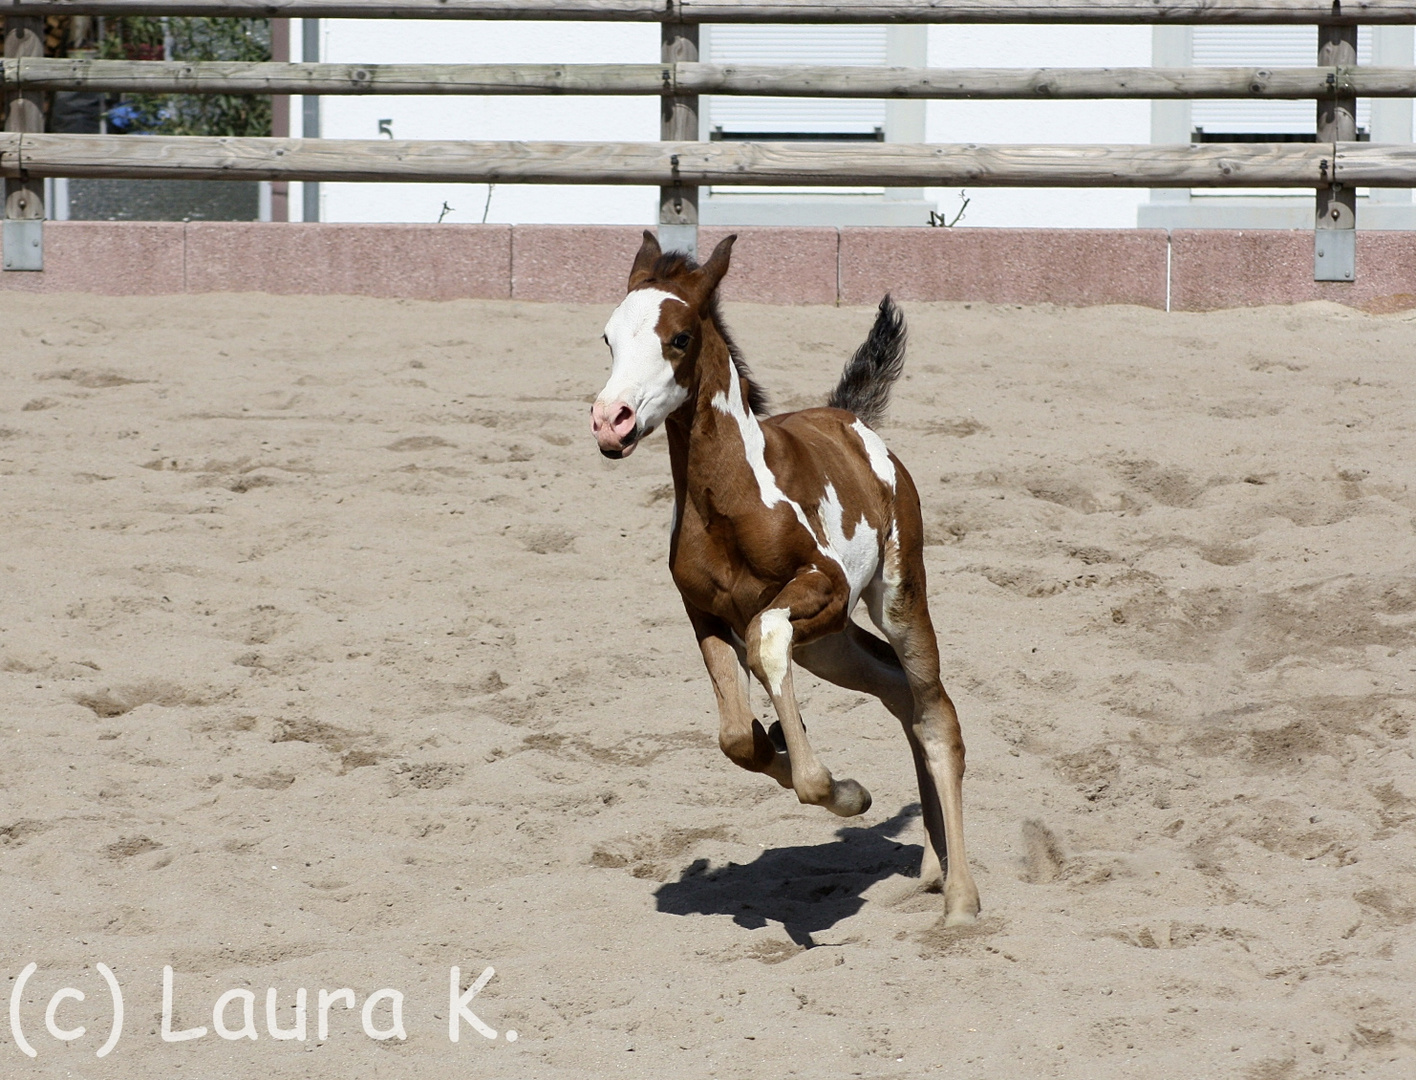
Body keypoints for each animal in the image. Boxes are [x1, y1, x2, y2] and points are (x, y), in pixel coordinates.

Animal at [591, 232, 979, 922]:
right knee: (898, 693)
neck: (729, 501)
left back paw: (959, 898)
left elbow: (766, 640)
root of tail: (849, 421)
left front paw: (836, 788)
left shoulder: (819, 588)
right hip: (830, 644)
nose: (612, 420)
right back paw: (931, 868)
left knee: (935, 714)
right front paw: (794, 754)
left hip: (895, 598)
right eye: (608, 338)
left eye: (679, 338)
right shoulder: (705, 614)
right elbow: (734, 737)